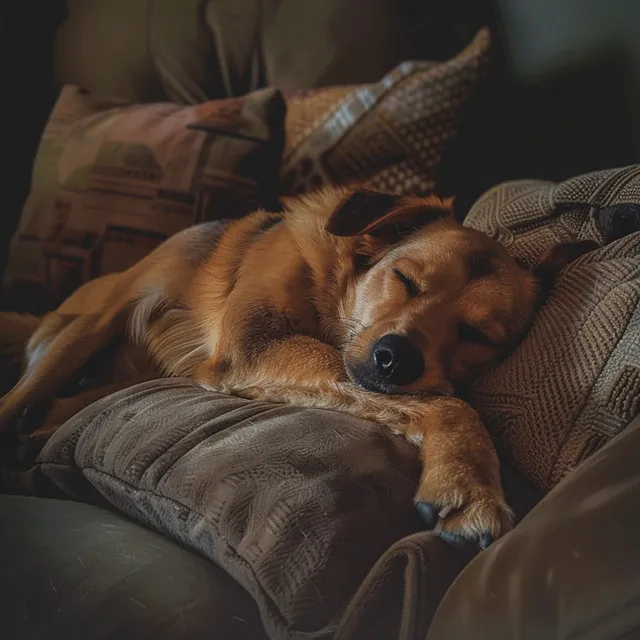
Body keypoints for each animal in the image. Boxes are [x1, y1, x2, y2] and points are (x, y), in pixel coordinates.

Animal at [0, 188, 596, 548]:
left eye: (477, 335)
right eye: (405, 279)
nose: (396, 357)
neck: (331, 290)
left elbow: (434, 398)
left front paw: (465, 477)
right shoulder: (256, 341)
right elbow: (452, 403)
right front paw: (472, 485)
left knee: (54, 407)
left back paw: (34, 440)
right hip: (83, 332)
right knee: (21, 399)